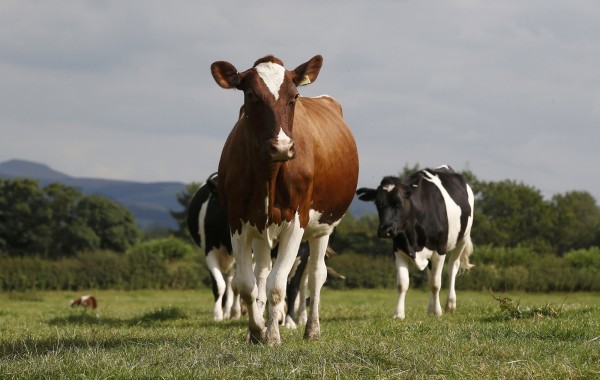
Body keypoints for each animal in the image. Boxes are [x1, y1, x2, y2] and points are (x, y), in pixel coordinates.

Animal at [213, 55, 358, 344]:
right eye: (250, 94)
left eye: (294, 97)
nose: (281, 147)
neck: (268, 175)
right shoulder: (237, 222)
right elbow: (247, 285)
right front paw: (257, 330)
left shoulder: (296, 222)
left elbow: (278, 285)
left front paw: (272, 336)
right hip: (262, 230)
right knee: (261, 273)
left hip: (323, 228)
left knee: (316, 275)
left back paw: (311, 329)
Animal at [356, 166, 474, 318]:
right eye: (378, 204)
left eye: (399, 202)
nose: (384, 230)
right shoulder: (399, 250)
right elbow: (402, 284)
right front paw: (399, 314)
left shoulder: (439, 250)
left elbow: (435, 284)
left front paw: (438, 312)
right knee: (431, 274)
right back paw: (430, 309)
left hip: (463, 238)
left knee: (452, 267)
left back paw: (450, 304)